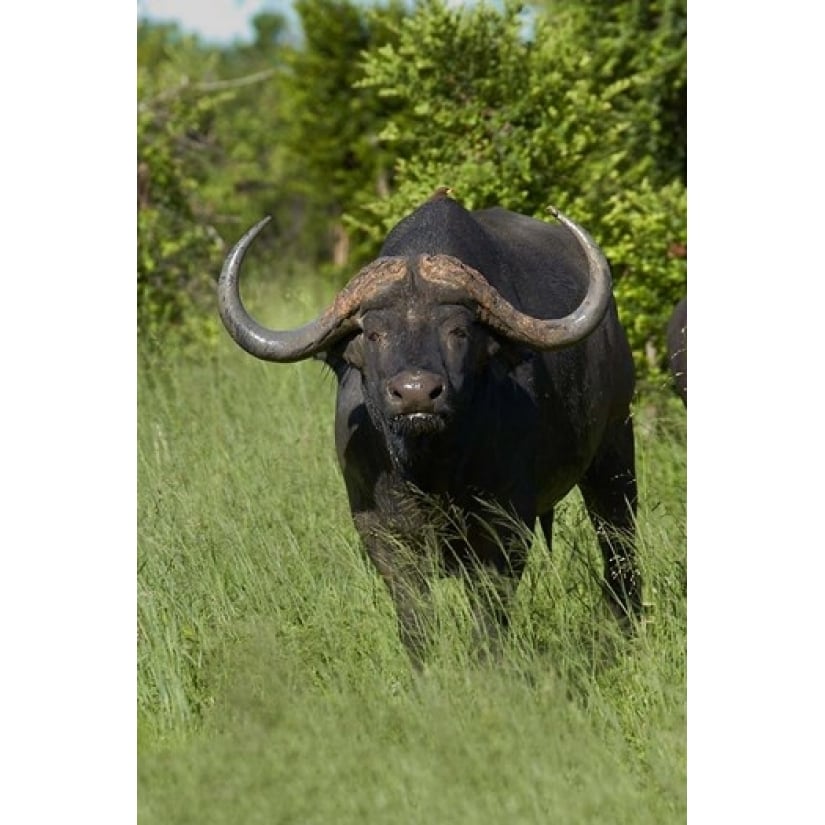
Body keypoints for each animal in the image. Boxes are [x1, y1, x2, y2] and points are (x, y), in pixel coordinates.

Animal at [219, 192, 644, 656]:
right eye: (374, 334)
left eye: (458, 330)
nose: (416, 393)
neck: (430, 471)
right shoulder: (379, 531)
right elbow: (413, 613)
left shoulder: (505, 523)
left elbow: (489, 609)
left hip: (615, 445)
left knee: (617, 537)